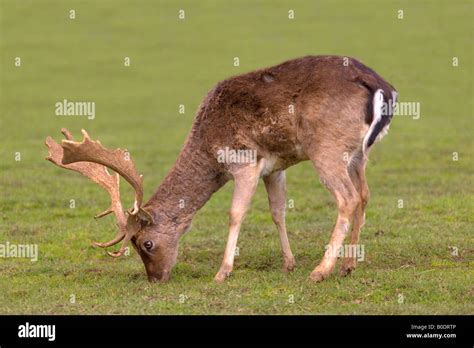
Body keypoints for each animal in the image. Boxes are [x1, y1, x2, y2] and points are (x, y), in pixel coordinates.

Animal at [46, 55, 398, 282]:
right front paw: (288, 263)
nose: (155, 278)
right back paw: (348, 265)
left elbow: (235, 213)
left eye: (146, 243)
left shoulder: (243, 162)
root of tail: (382, 86)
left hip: (326, 148)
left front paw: (222, 272)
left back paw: (320, 271)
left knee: (347, 198)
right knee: (364, 196)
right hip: (357, 154)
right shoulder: (275, 167)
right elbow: (278, 212)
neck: (207, 146)